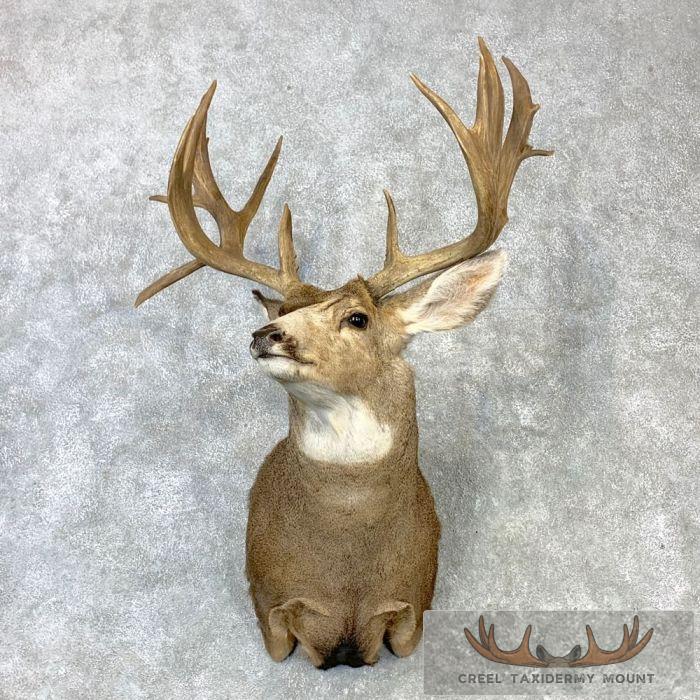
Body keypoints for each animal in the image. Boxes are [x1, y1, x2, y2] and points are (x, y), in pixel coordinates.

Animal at [135, 38, 551, 669]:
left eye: (358, 318)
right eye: (282, 309)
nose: (267, 334)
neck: (348, 570)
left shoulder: (411, 604)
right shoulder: (271, 603)